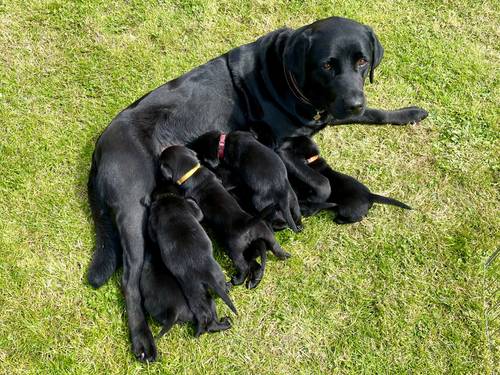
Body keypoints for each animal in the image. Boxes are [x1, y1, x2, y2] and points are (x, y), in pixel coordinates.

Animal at [146, 184, 237, 338]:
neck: (165, 197)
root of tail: (204, 275)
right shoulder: (192, 210)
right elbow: (197, 209)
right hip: (215, 280)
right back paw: (226, 319)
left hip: (197, 296)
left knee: (205, 318)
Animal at [158, 145, 292, 290]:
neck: (192, 171)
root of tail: (249, 224)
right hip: (267, 234)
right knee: (276, 248)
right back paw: (286, 255)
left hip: (235, 250)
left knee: (244, 267)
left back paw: (236, 280)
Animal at [278, 137, 410, 223]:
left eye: (292, 144)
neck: (311, 159)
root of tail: (370, 196)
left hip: (346, 210)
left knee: (356, 218)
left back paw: (338, 220)